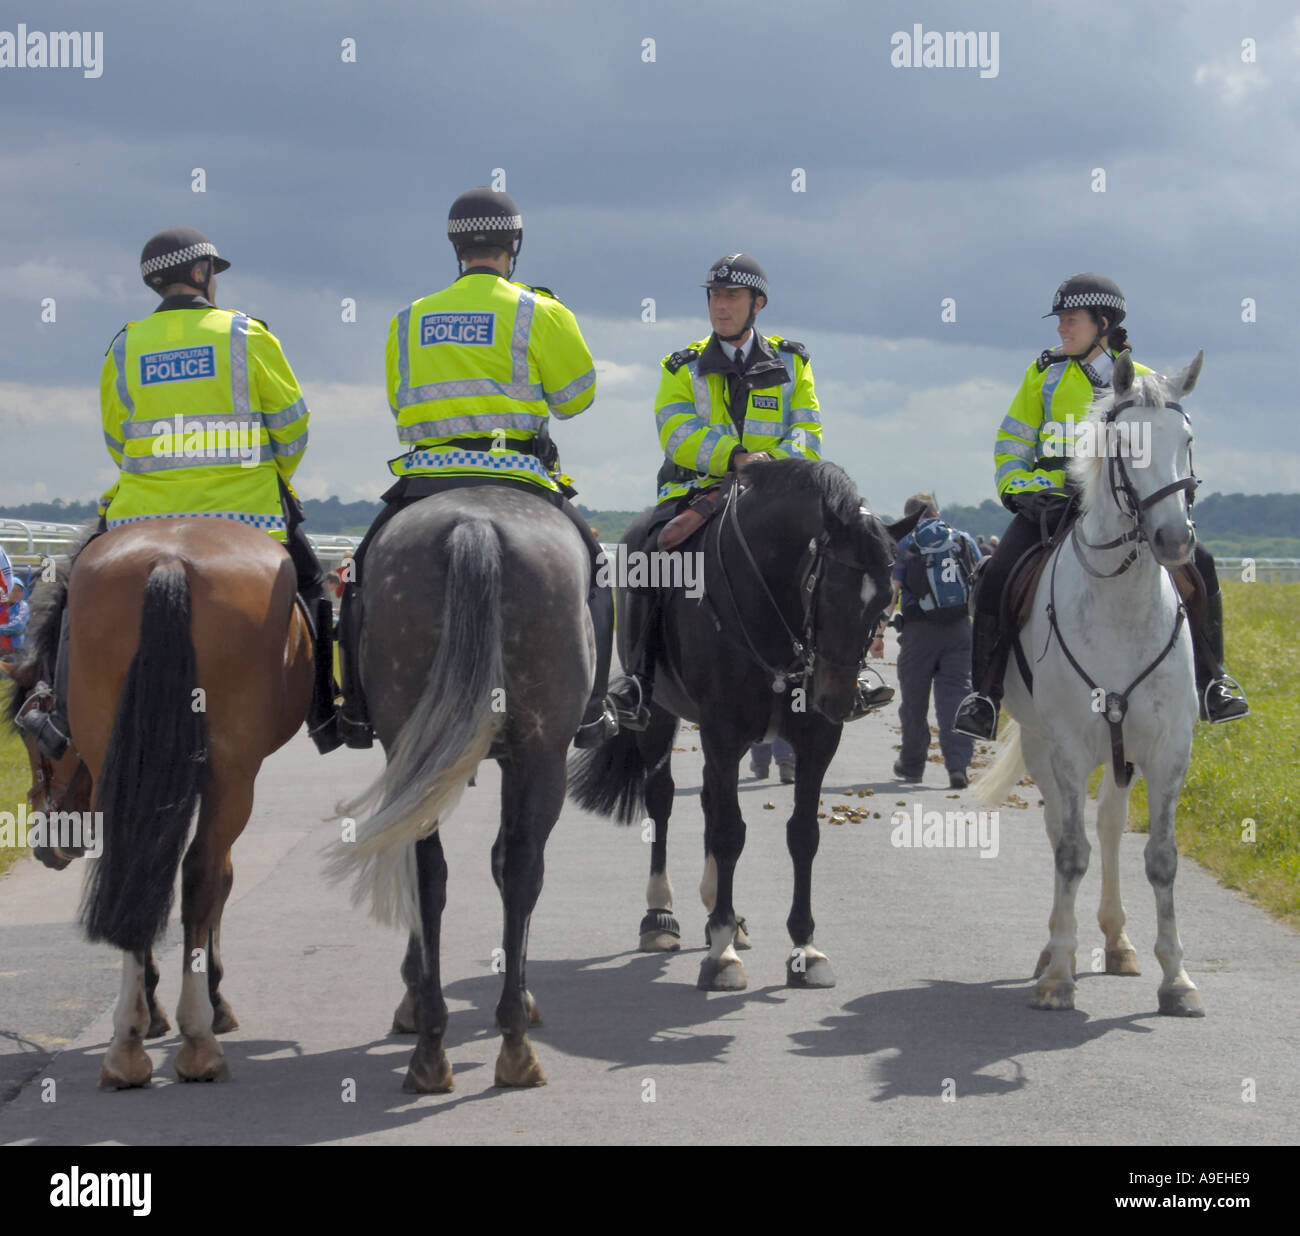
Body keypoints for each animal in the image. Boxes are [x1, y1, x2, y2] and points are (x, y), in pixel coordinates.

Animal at [5, 517, 312, 1086]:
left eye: (32, 741)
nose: (46, 844)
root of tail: (169, 559)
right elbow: (214, 882)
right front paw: (209, 1001)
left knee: (141, 866)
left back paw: (128, 1044)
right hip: (232, 774)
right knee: (198, 875)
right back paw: (195, 1039)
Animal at [325, 483, 595, 1091]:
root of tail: (477, 526)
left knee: (431, 871)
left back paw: (433, 1046)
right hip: (541, 755)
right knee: (519, 868)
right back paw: (509, 1042)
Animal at [569, 460, 915, 992]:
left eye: (885, 601)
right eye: (829, 592)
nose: (835, 698)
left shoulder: (816, 741)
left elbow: (801, 834)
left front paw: (804, 947)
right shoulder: (723, 732)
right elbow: (730, 832)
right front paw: (722, 954)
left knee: (711, 800)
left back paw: (725, 913)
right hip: (659, 717)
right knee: (663, 798)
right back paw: (662, 917)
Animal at [977, 348, 1206, 1013]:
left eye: (1186, 440)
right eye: (1125, 444)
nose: (1174, 540)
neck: (1122, 607)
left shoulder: (1168, 748)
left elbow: (1160, 857)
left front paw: (1176, 979)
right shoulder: (1070, 748)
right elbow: (1070, 852)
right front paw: (1059, 975)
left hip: (1121, 753)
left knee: (1108, 827)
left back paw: (1119, 942)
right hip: (1041, 745)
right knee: (1064, 831)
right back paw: (1058, 949)